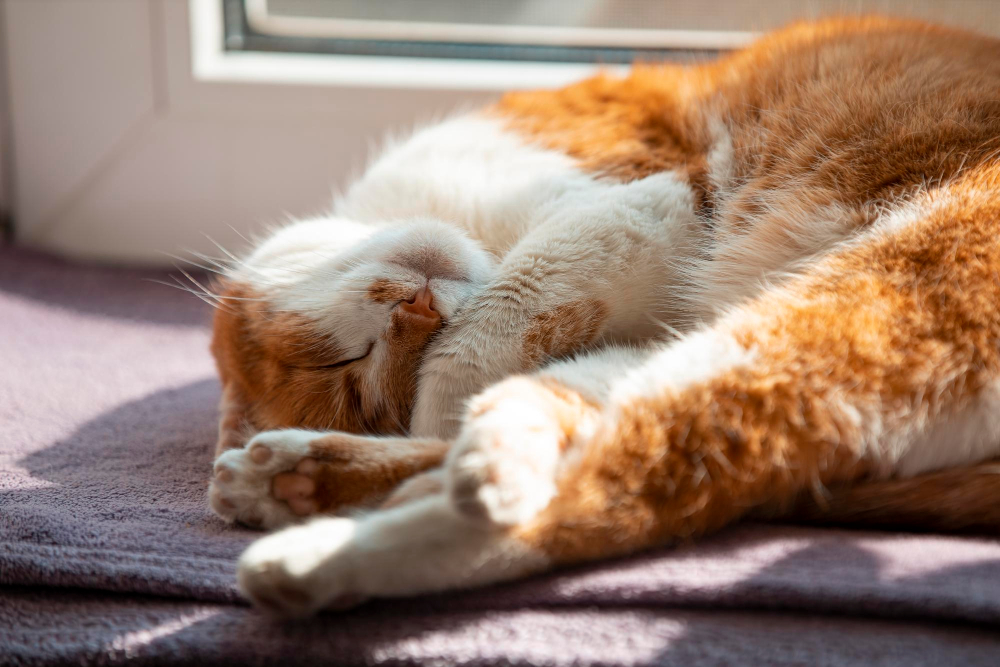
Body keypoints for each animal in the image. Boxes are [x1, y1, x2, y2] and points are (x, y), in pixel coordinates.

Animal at [201, 17, 1000, 620]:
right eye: (360, 374)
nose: (415, 307)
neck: (485, 236)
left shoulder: (648, 204)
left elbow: (485, 336)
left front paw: (453, 395)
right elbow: (492, 365)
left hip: (867, 303)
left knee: (605, 468)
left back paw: (368, 517)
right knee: (620, 468)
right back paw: (298, 493)